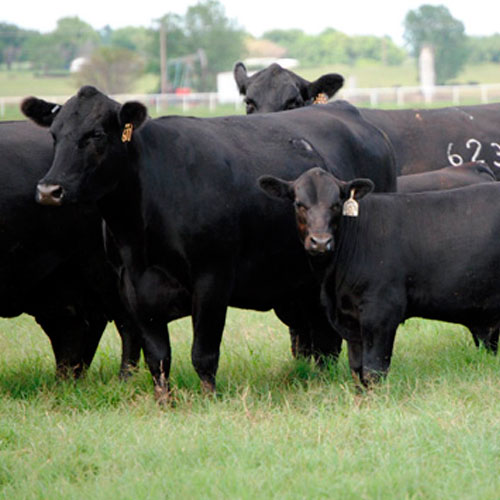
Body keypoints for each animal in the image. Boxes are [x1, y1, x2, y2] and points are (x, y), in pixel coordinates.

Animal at [22, 85, 398, 398]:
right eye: (55, 135)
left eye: (96, 134)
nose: (49, 190)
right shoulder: (131, 288)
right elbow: (158, 357)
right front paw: (164, 402)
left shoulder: (212, 278)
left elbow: (203, 353)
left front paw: (208, 399)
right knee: (321, 339)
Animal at [260, 166, 500, 384]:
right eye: (299, 204)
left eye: (336, 204)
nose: (320, 242)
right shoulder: (350, 320)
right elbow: (357, 370)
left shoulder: (381, 312)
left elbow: (373, 371)